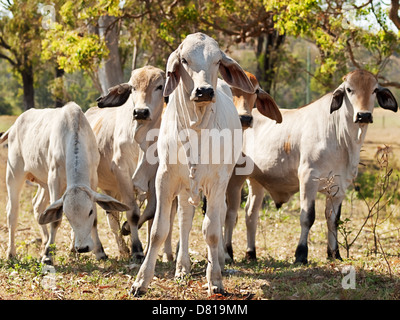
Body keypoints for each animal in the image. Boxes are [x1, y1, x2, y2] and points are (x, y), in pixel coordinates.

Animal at [0, 102, 128, 264]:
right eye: (67, 214)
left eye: (90, 212)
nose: (83, 248)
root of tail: (15, 124)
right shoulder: (54, 180)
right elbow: (55, 220)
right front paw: (48, 255)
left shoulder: (93, 180)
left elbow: (94, 221)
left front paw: (99, 252)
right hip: (14, 174)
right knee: (12, 212)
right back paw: (11, 252)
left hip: (43, 183)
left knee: (38, 206)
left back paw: (45, 241)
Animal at [86, 65, 166, 260]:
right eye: (132, 88)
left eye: (159, 86)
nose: (140, 112)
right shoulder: (122, 172)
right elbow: (133, 212)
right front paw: (137, 249)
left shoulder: (153, 176)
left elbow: (150, 211)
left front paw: (127, 230)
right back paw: (98, 250)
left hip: (111, 189)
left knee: (111, 216)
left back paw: (122, 248)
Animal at [131, 31, 255, 296]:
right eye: (185, 60)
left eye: (217, 61)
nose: (204, 91)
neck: (196, 128)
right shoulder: (164, 179)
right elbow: (158, 231)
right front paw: (141, 282)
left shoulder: (217, 183)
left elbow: (211, 231)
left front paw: (215, 279)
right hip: (185, 187)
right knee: (184, 221)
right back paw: (182, 267)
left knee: (215, 220)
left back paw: (216, 262)